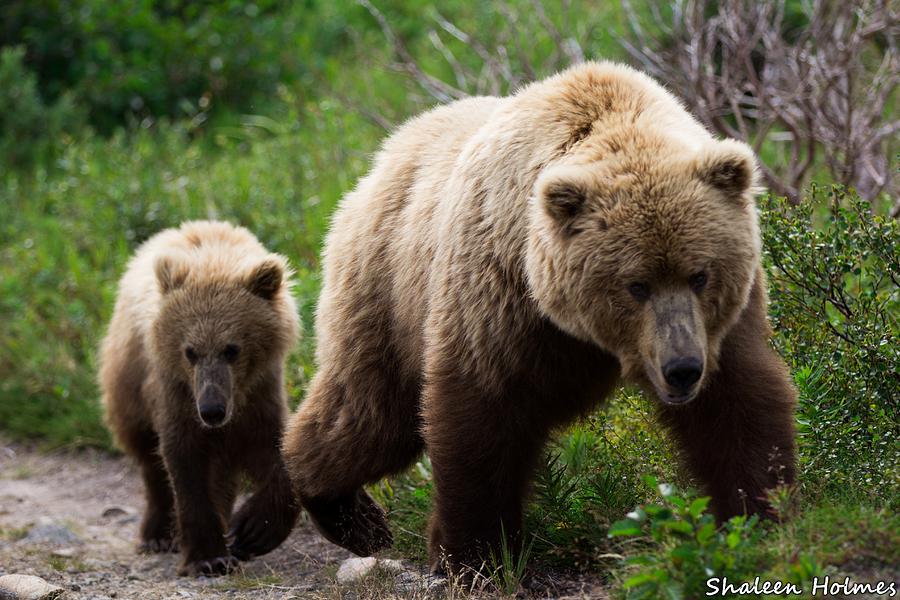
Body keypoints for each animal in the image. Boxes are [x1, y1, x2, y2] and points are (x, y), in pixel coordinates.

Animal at [282, 63, 796, 576]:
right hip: (387, 291)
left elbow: (738, 404)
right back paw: (348, 513)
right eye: (637, 284)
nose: (682, 368)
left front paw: (760, 517)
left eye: (699, 275)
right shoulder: (498, 298)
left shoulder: (726, 320)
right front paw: (476, 556)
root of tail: (383, 156)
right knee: (371, 412)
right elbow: (479, 417)